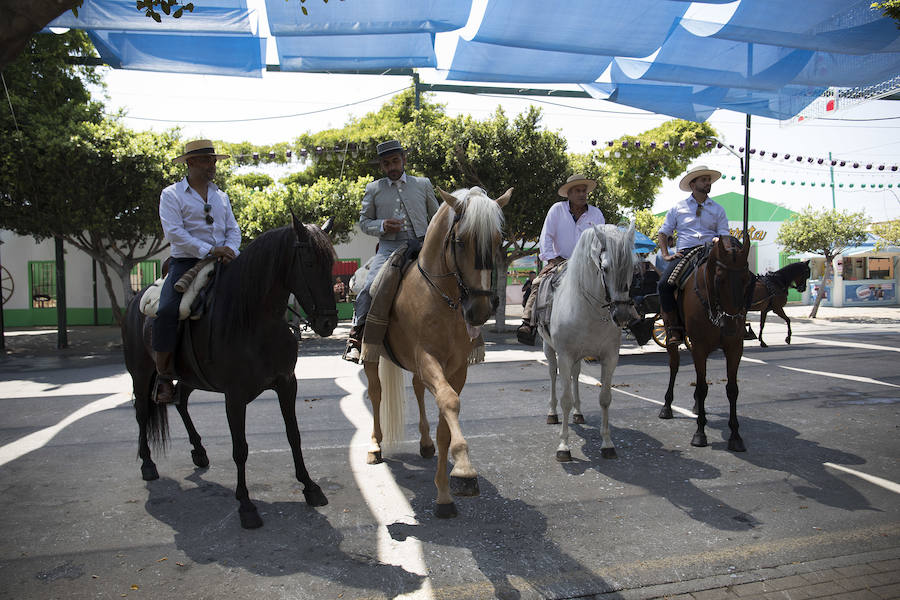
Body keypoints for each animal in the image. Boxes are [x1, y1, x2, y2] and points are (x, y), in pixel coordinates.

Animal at [121, 217, 340, 528]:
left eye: (331, 264)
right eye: (308, 262)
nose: (327, 323)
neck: (254, 322)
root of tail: (135, 301)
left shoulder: (287, 384)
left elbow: (293, 435)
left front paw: (310, 487)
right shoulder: (234, 397)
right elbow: (240, 448)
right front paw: (246, 505)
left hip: (189, 376)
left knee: (180, 401)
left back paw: (199, 451)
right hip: (140, 374)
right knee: (142, 413)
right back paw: (148, 463)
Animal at [362, 185, 510, 516]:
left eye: (497, 240)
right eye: (460, 240)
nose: (480, 310)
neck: (443, 299)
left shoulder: (456, 368)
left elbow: (446, 421)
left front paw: (444, 494)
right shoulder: (427, 357)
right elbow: (449, 402)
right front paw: (465, 470)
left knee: (418, 389)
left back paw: (425, 443)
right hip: (371, 355)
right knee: (376, 393)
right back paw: (375, 446)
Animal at [536, 225, 636, 464]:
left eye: (633, 267)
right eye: (605, 268)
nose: (622, 316)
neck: (589, 310)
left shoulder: (610, 358)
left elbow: (605, 399)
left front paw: (607, 444)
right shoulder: (564, 356)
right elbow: (565, 399)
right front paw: (564, 446)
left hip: (578, 357)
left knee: (575, 376)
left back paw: (579, 413)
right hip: (549, 349)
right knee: (553, 376)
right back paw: (552, 413)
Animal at [656, 234, 756, 450]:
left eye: (747, 279)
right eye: (719, 278)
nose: (731, 325)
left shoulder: (734, 348)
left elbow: (732, 389)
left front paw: (735, 436)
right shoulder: (700, 347)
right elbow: (702, 388)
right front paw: (700, 433)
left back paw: (694, 406)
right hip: (671, 336)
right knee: (674, 367)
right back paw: (667, 407)